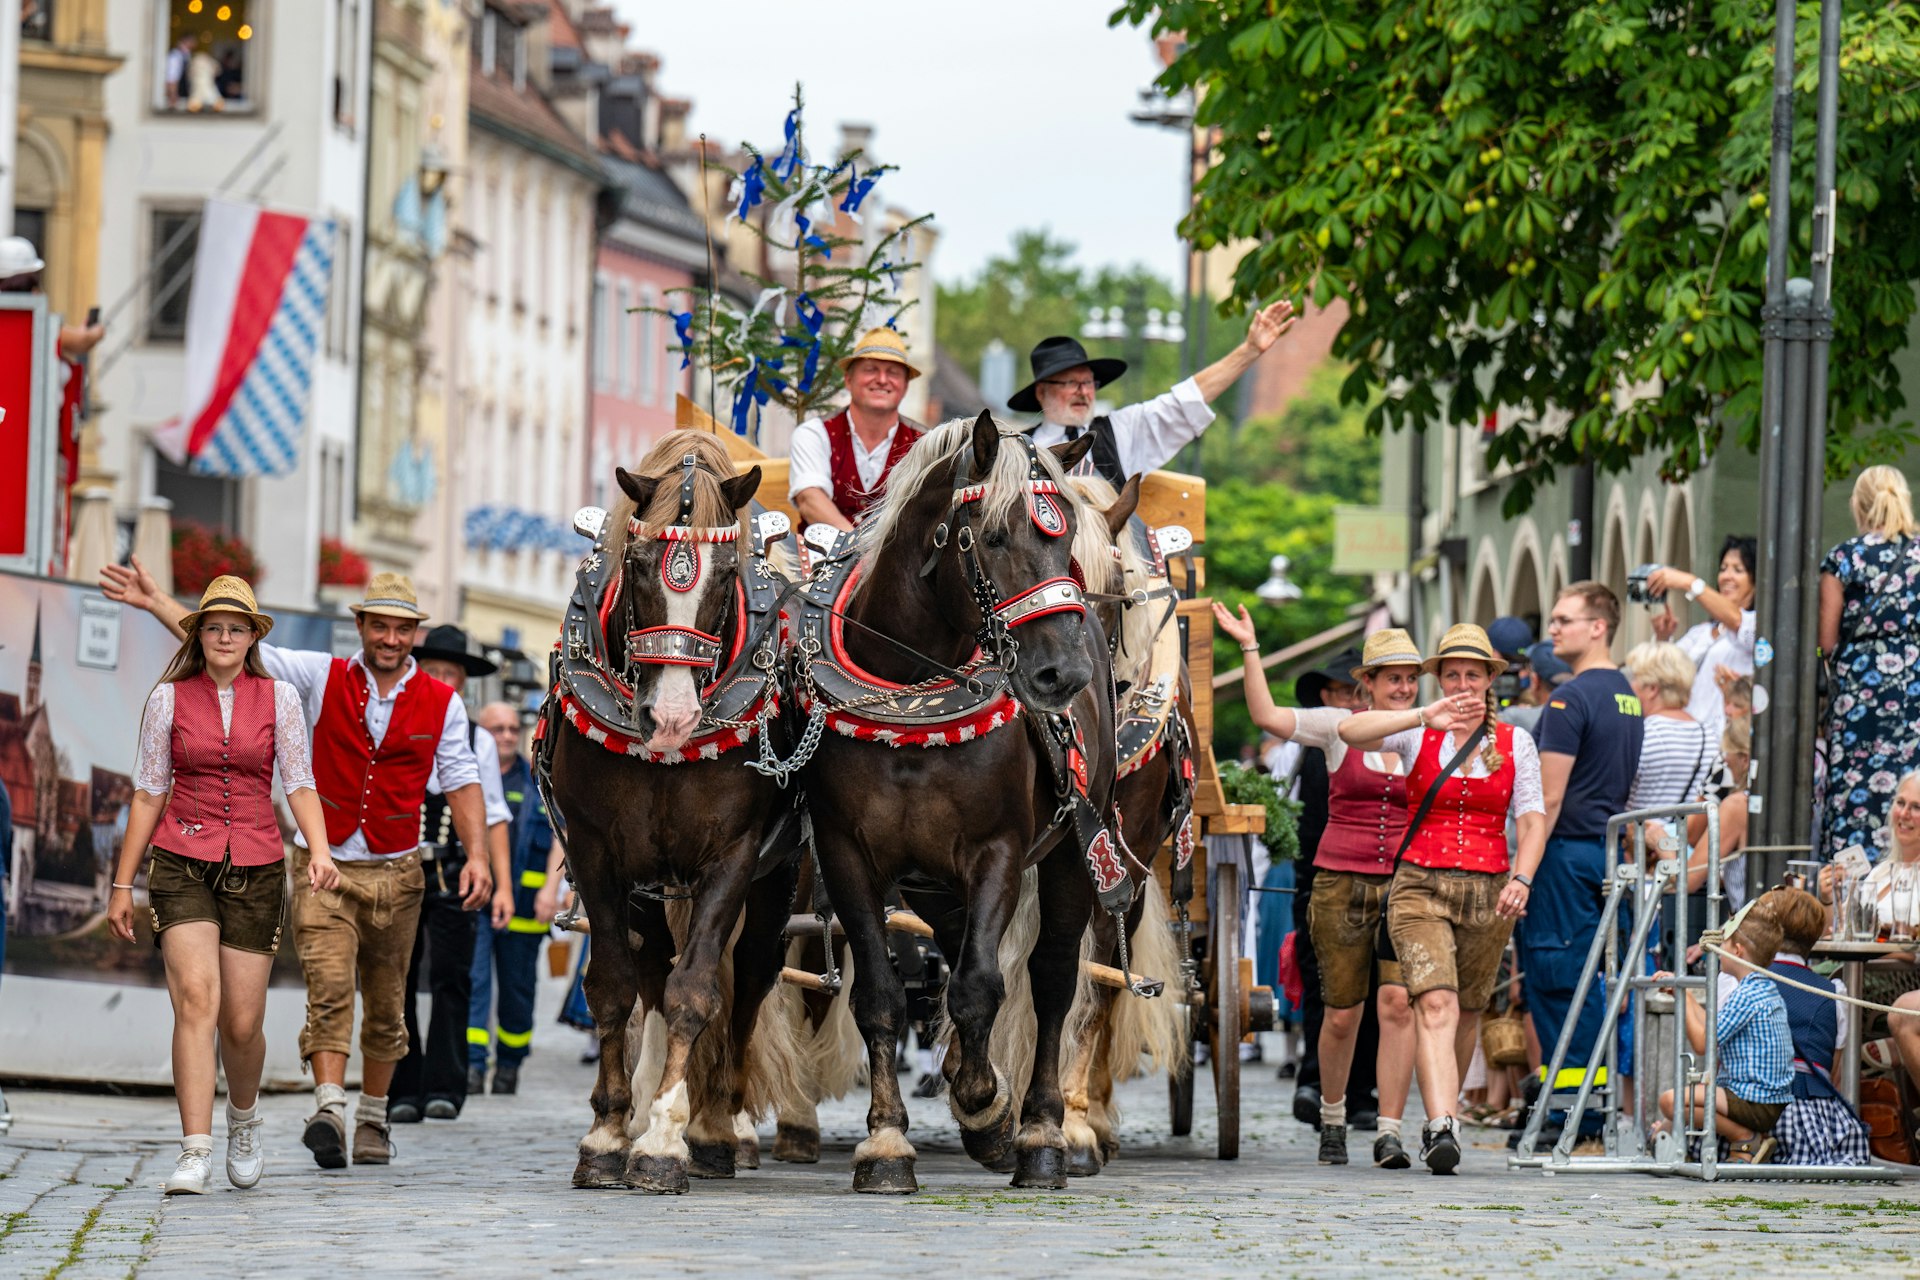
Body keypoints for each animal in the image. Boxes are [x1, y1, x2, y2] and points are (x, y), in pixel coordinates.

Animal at [794, 410, 1121, 1189]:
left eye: (1065, 535)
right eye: (995, 536)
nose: (1062, 673)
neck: (912, 693)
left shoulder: (998, 852)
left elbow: (979, 985)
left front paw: (984, 1105)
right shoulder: (848, 855)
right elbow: (882, 996)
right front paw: (887, 1144)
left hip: (1070, 854)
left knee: (1050, 977)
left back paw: (1039, 1132)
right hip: (930, 883)